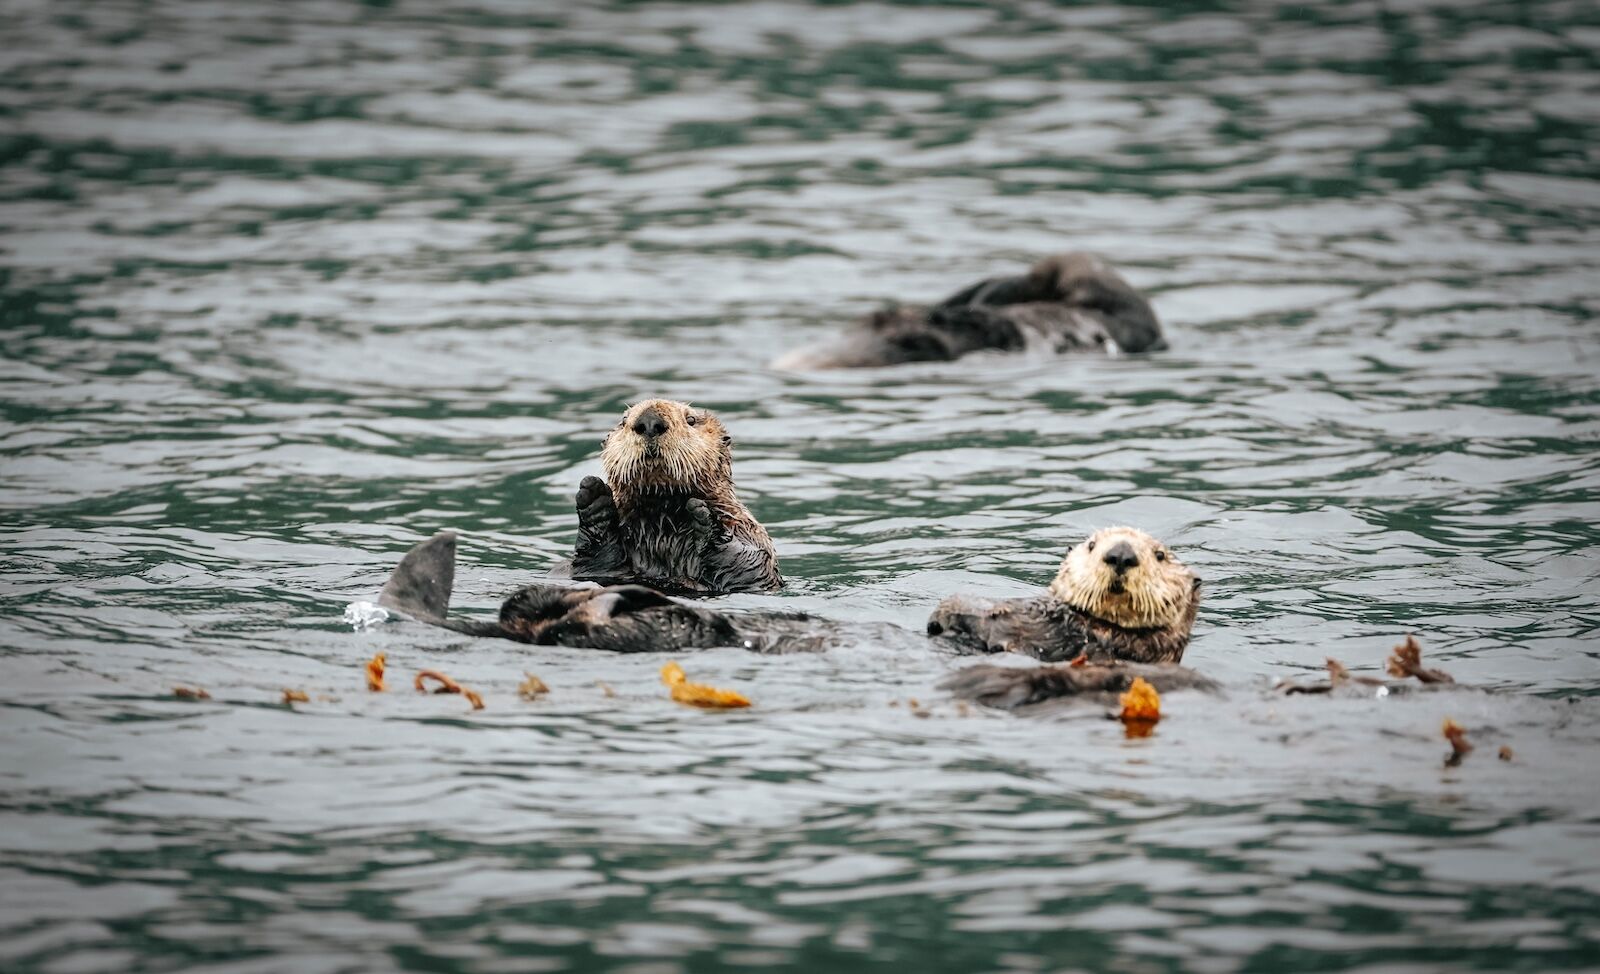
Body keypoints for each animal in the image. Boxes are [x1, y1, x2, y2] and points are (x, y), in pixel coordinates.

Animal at [571, 399, 780, 594]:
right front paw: (595, 504)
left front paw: (707, 525)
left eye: (691, 419)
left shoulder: (750, 535)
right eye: (624, 420)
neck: (662, 522)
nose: (649, 422)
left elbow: (752, 565)